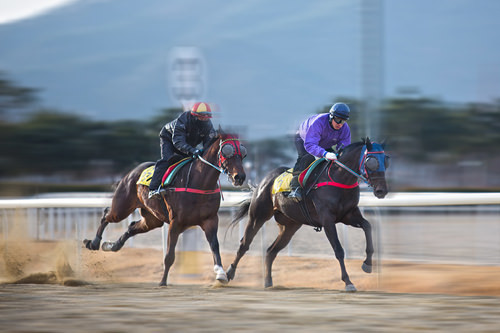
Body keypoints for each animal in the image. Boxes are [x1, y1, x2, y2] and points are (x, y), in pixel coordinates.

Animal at [84, 130, 248, 286]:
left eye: (243, 153)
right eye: (227, 151)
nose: (239, 177)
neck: (198, 183)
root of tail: (131, 173)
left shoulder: (210, 220)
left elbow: (215, 247)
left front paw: (221, 274)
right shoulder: (176, 222)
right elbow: (169, 255)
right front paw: (163, 281)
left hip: (152, 220)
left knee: (131, 227)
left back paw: (111, 246)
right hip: (121, 208)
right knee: (106, 214)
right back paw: (94, 242)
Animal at [225, 137, 388, 290]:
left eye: (386, 160)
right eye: (371, 162)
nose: (382, 191)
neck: (339, 179)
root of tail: (263, 181)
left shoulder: (349, 215)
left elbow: (367, 226)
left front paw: (367, 264)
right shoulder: (327, 219)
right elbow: (339, 250)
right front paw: (348, 282)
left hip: (289, 226)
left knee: (271, 251)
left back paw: (268, 282)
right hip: (258, 216)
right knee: (244, 244)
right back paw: (227, 274)